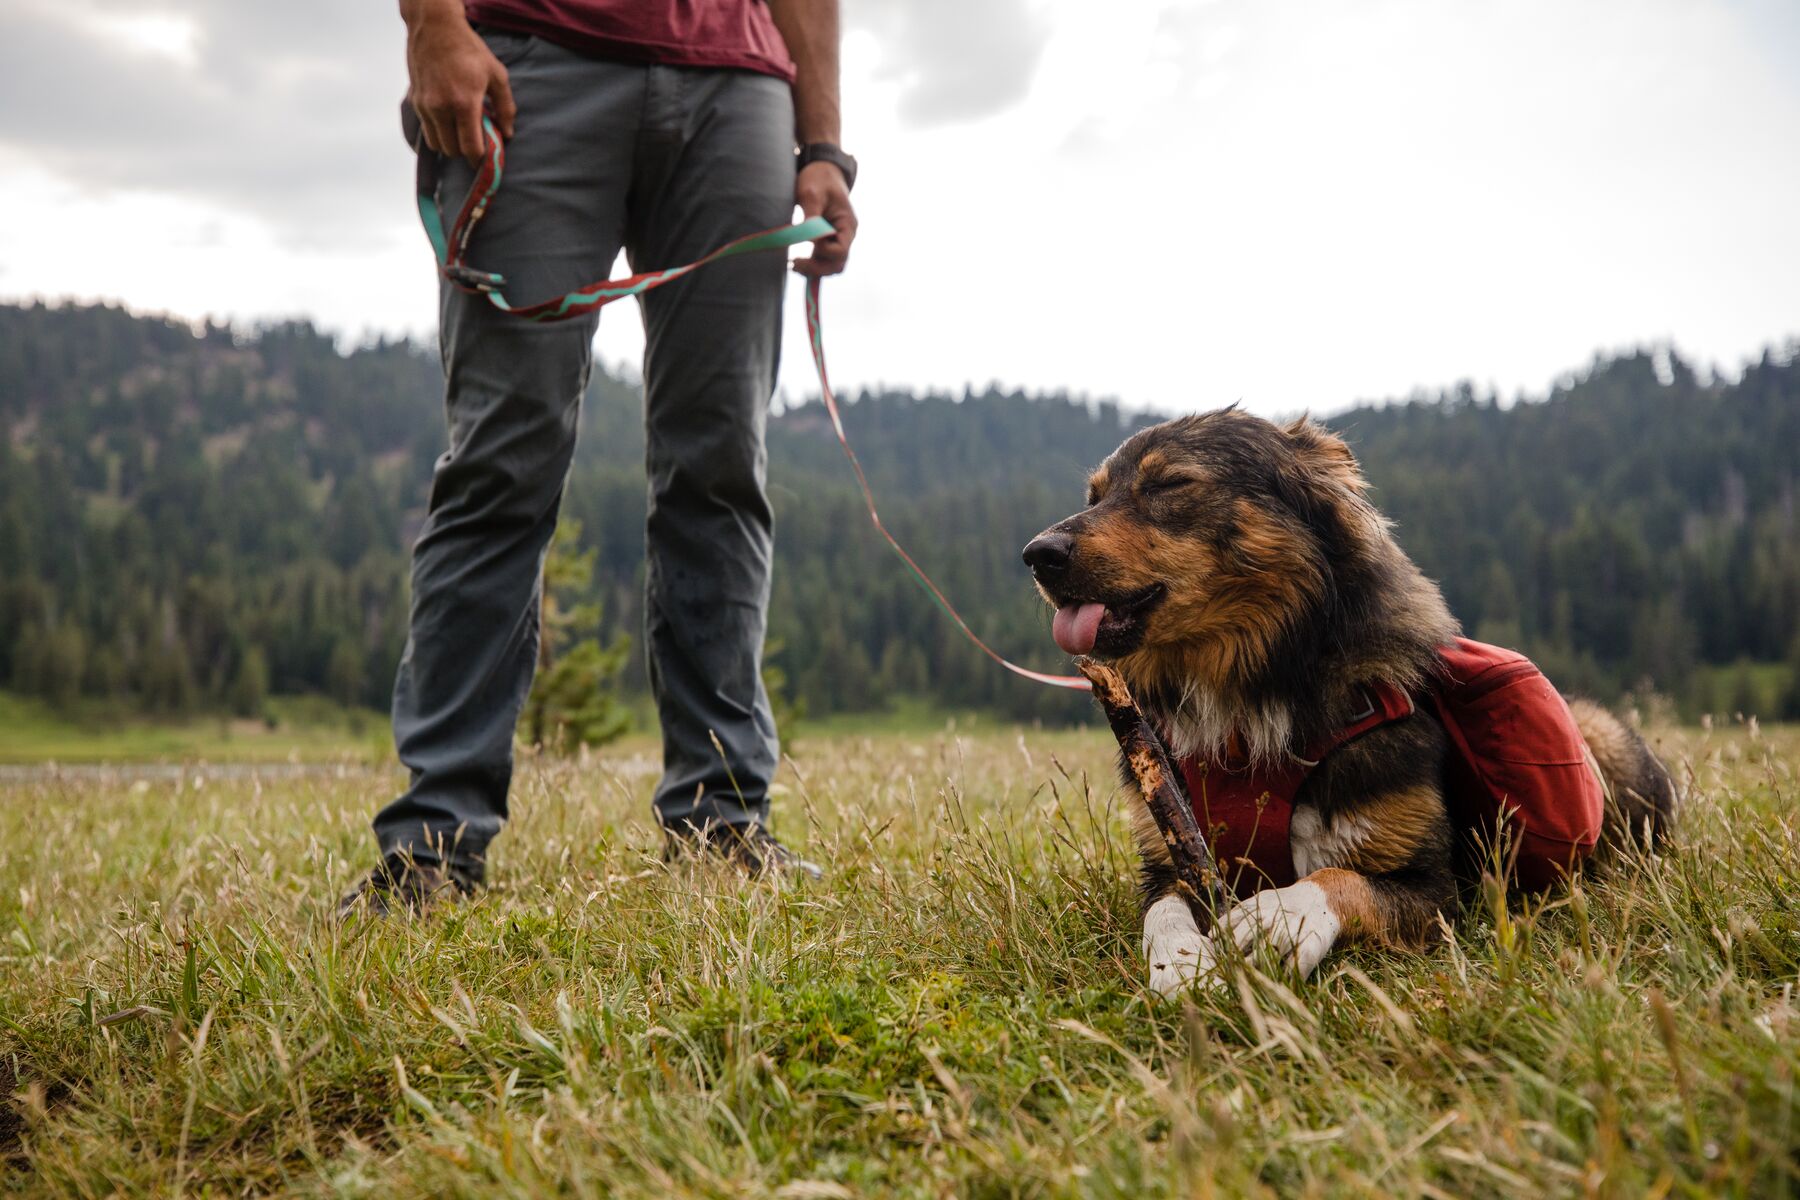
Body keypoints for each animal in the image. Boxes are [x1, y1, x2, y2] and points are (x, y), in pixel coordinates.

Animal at [1029, 410, 1670, 993]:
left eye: (1170, 485)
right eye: (1094, 496)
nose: (1038, 554)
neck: (1244, 706)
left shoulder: (1441, 892)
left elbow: (1340, 878)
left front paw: (1283, 917)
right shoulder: (1167, 859)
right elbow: (1163, 912)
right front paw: (1180, 960)